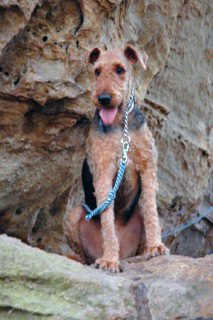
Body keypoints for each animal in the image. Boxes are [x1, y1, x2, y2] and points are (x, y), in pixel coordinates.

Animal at [64, 45, 169, 272]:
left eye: (120, 69)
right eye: (97, 71)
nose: (103, 99)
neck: (122, 126)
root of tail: (125, 253)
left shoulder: (148, 166)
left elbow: (151, 212)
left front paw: (156, 246)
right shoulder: (104, 172)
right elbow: (107, 221)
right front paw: (110, 260)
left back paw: (142, 253)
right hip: (75, 215)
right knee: (84, 255)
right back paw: (96, 258)